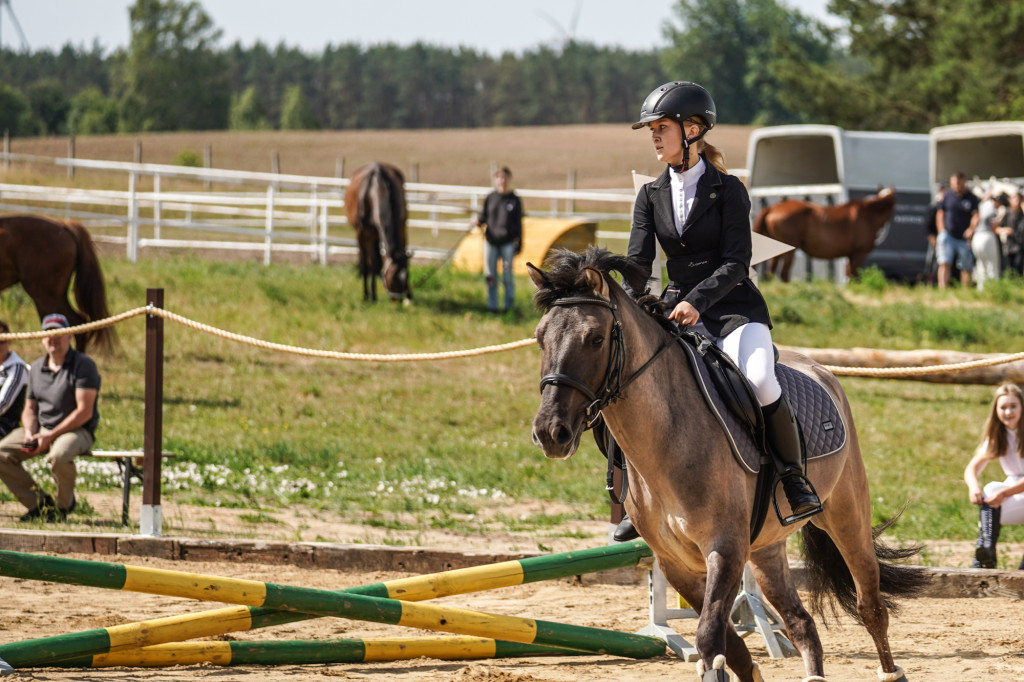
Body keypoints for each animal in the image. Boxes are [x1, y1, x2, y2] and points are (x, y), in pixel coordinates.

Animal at [342, 161, 409, 301]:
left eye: (406, 277)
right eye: (393, 279)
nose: (399, 299)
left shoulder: (401, 226)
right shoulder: (363, 233)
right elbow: (369, 263)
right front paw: (369, 296)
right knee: (365, 258)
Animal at [528, 245, 929, 679]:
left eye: (595, 338)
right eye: (540, 338)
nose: (550, 433)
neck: (667, 438)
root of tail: (820, 369)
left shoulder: (725, 548)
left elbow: (709, 638)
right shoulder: (676, 563)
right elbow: (728, 645)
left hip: (845, 515)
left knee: (870, 604)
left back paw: (890, 669)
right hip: (767, 547)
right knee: (801, 622)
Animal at [753, 186, 897, 280]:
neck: (868, 216)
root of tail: (773, 208)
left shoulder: (850, 255)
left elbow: (848, 274)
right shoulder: (858, 254)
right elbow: (852, 276)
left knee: (770, 272)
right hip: (790, 250)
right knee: (783, 273)